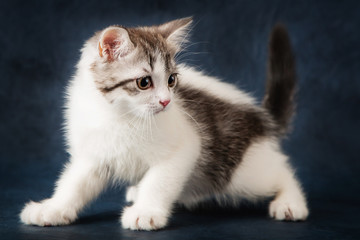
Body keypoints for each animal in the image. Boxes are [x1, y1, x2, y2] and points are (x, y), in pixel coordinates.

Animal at [19, 17, 308, 231]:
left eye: (171, 80)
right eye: (144, 82)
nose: (167, 101)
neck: (118, 115)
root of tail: (262, 118)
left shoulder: (187, 146)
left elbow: (159, 181)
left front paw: (146, 212)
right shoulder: (93, 153)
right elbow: (74, 183)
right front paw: (53, 208)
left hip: (242, 172)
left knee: (280, 171)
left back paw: (291, 202)